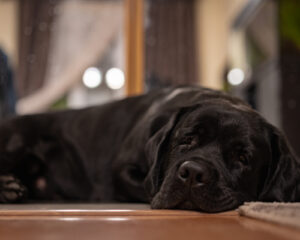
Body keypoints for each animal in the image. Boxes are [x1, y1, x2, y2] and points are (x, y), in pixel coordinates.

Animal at [0, 86, 300, 212]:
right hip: (17, 140)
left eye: (242, 157)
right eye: (186, 140)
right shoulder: (121, 170)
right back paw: (9, 187)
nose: (193, 173)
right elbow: (147, 186)